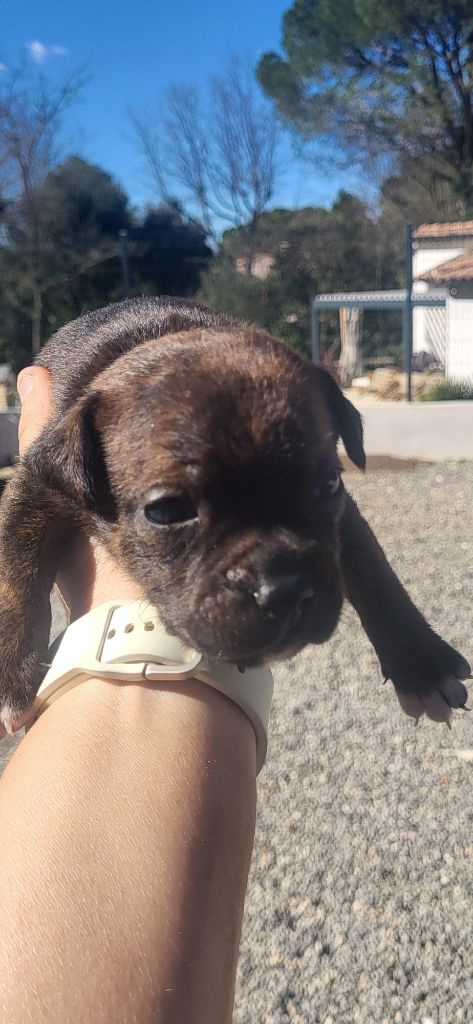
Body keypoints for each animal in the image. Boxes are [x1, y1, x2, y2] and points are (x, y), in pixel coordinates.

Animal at [0, 296, 469, 733]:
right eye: (166, 512)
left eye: (328, 485)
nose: (283, 588)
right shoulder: (35, 483)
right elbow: (13, 578)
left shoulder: (345, 516)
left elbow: (375, 574)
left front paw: (423, 664)